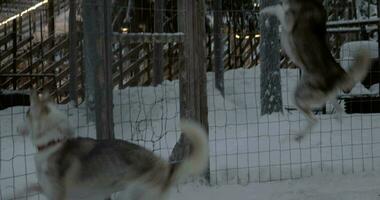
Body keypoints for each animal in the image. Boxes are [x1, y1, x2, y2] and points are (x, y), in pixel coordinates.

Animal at [17, 92, 208, 200]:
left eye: (27, 113)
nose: (17, 128)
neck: (52, 144)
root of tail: (167, 168)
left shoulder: (57, 195)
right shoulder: (47, 190)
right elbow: (27, 188)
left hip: (130, 194)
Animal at [260, 0, 370, 141]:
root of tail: (339, 73)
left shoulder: (288, 22)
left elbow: (278, 8)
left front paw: (264, 10)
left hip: (299, 96)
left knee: (315, 120)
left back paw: (300, 135)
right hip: (327, 96)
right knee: (338, 110)